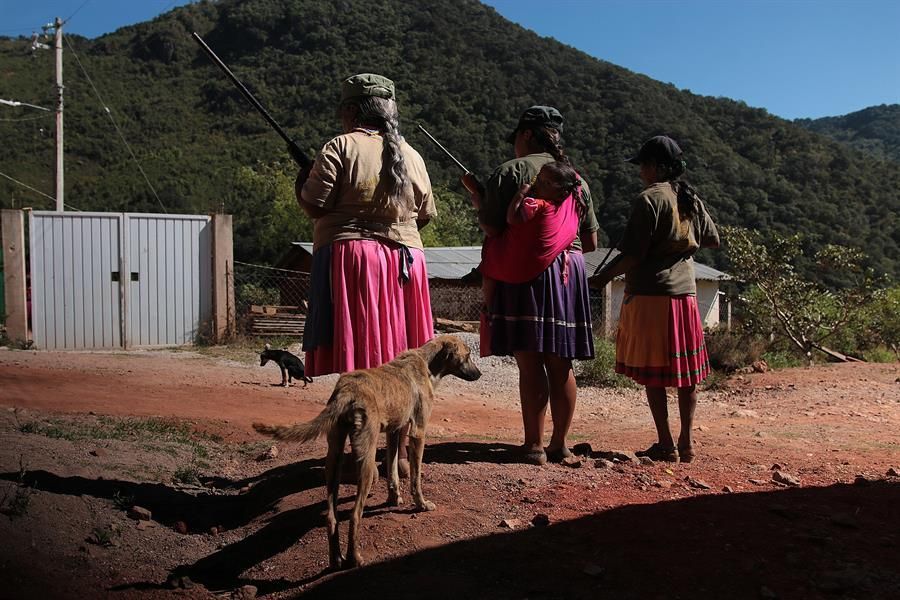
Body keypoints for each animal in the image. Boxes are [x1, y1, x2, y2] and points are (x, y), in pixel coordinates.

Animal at [250, 336, 482, 568]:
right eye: (469, 355)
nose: (479, 374)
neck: (426, 362)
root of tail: (346, 391)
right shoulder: (418, 432)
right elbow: (415, 478)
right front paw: (421, 504)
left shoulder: (394, 431)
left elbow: (393, 471)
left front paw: (394, 498)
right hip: (366, 461)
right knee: (354, 515)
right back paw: (355, 558)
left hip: (333, 460)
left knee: (331, 516)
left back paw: (336, 559)